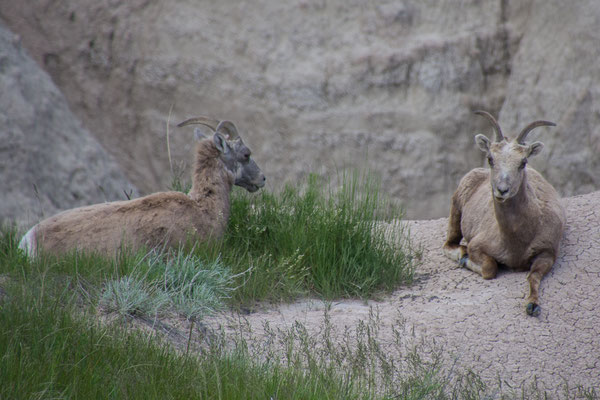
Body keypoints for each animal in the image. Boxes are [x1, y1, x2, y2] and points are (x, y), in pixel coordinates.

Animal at [442, 111, 564, 318]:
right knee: (449, 244)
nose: (502, 190)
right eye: (490, 158)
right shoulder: (477, 246)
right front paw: (466, 259)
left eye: (523, 162)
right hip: (456, 210)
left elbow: (533, 275)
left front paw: (533, 306)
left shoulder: (547, 253)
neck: (516, 241)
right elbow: (490, 269)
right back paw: (462, 255)